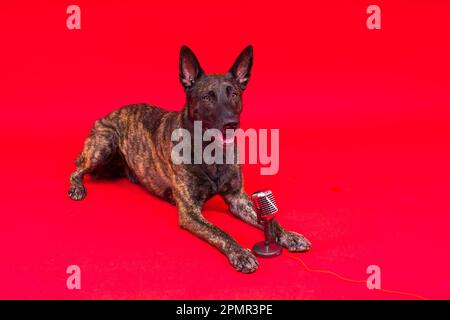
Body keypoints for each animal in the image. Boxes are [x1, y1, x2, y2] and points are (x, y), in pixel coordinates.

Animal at [68, 46, 312, 274]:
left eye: (234, 94)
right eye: (207, 97)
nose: (232, 123)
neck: (211, 152)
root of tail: (108, 114)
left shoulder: (238, 199)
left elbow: (270, 221)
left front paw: (289, 235)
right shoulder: (190, 212)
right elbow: (219, 231)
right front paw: (240, 253)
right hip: (104, 143)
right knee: (77, 170)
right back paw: (77, 188)